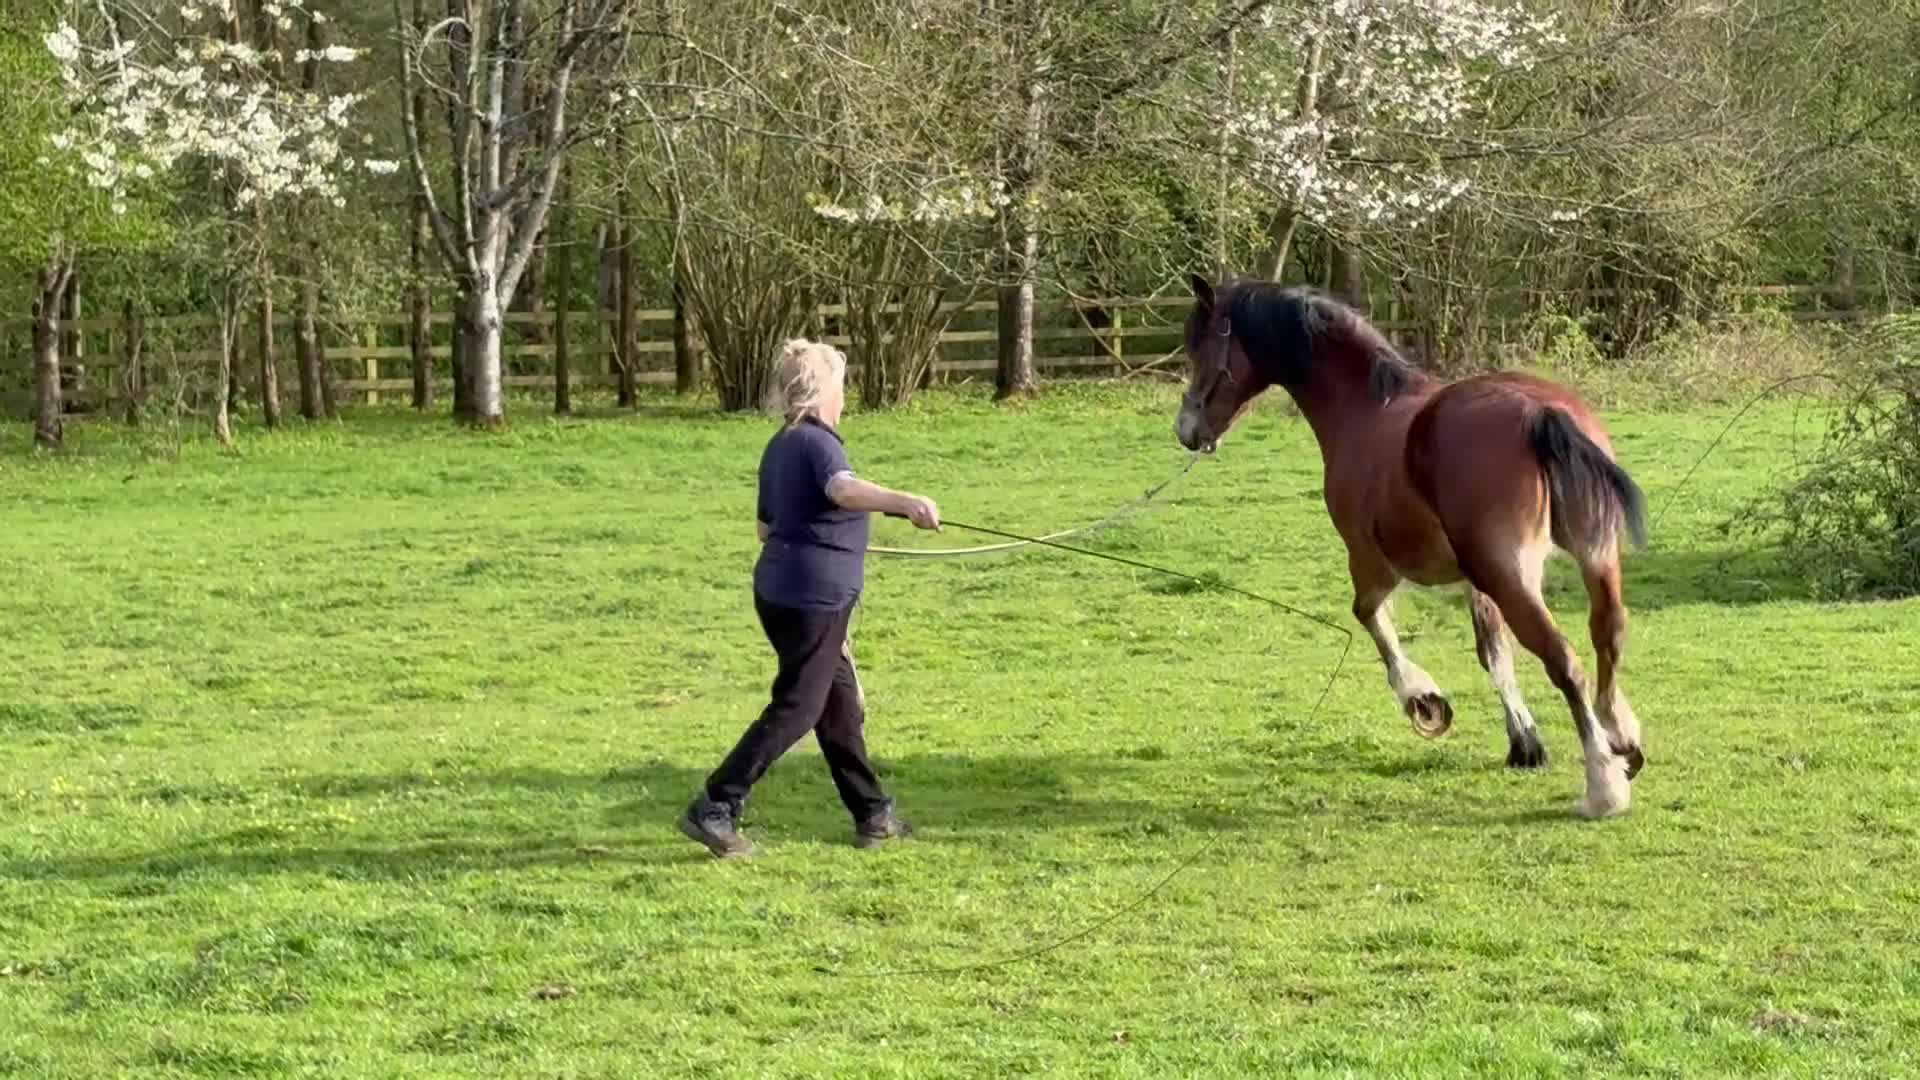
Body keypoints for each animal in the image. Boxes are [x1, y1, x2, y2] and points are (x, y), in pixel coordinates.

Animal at [1173, 273, 1648, 818]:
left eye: (1199, 346)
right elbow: (1493, 653)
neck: (1362, 407)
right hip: (1592, 558)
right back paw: (1622, 742)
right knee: (1607, 633)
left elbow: (1370, 619)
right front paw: (1524, 742)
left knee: (1563, 658)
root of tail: (1540, 413)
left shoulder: (1372, 564)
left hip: (1512, 577)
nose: (1186, 430)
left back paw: (1602, 784)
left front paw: (1424, 701)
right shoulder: (1474, 582)